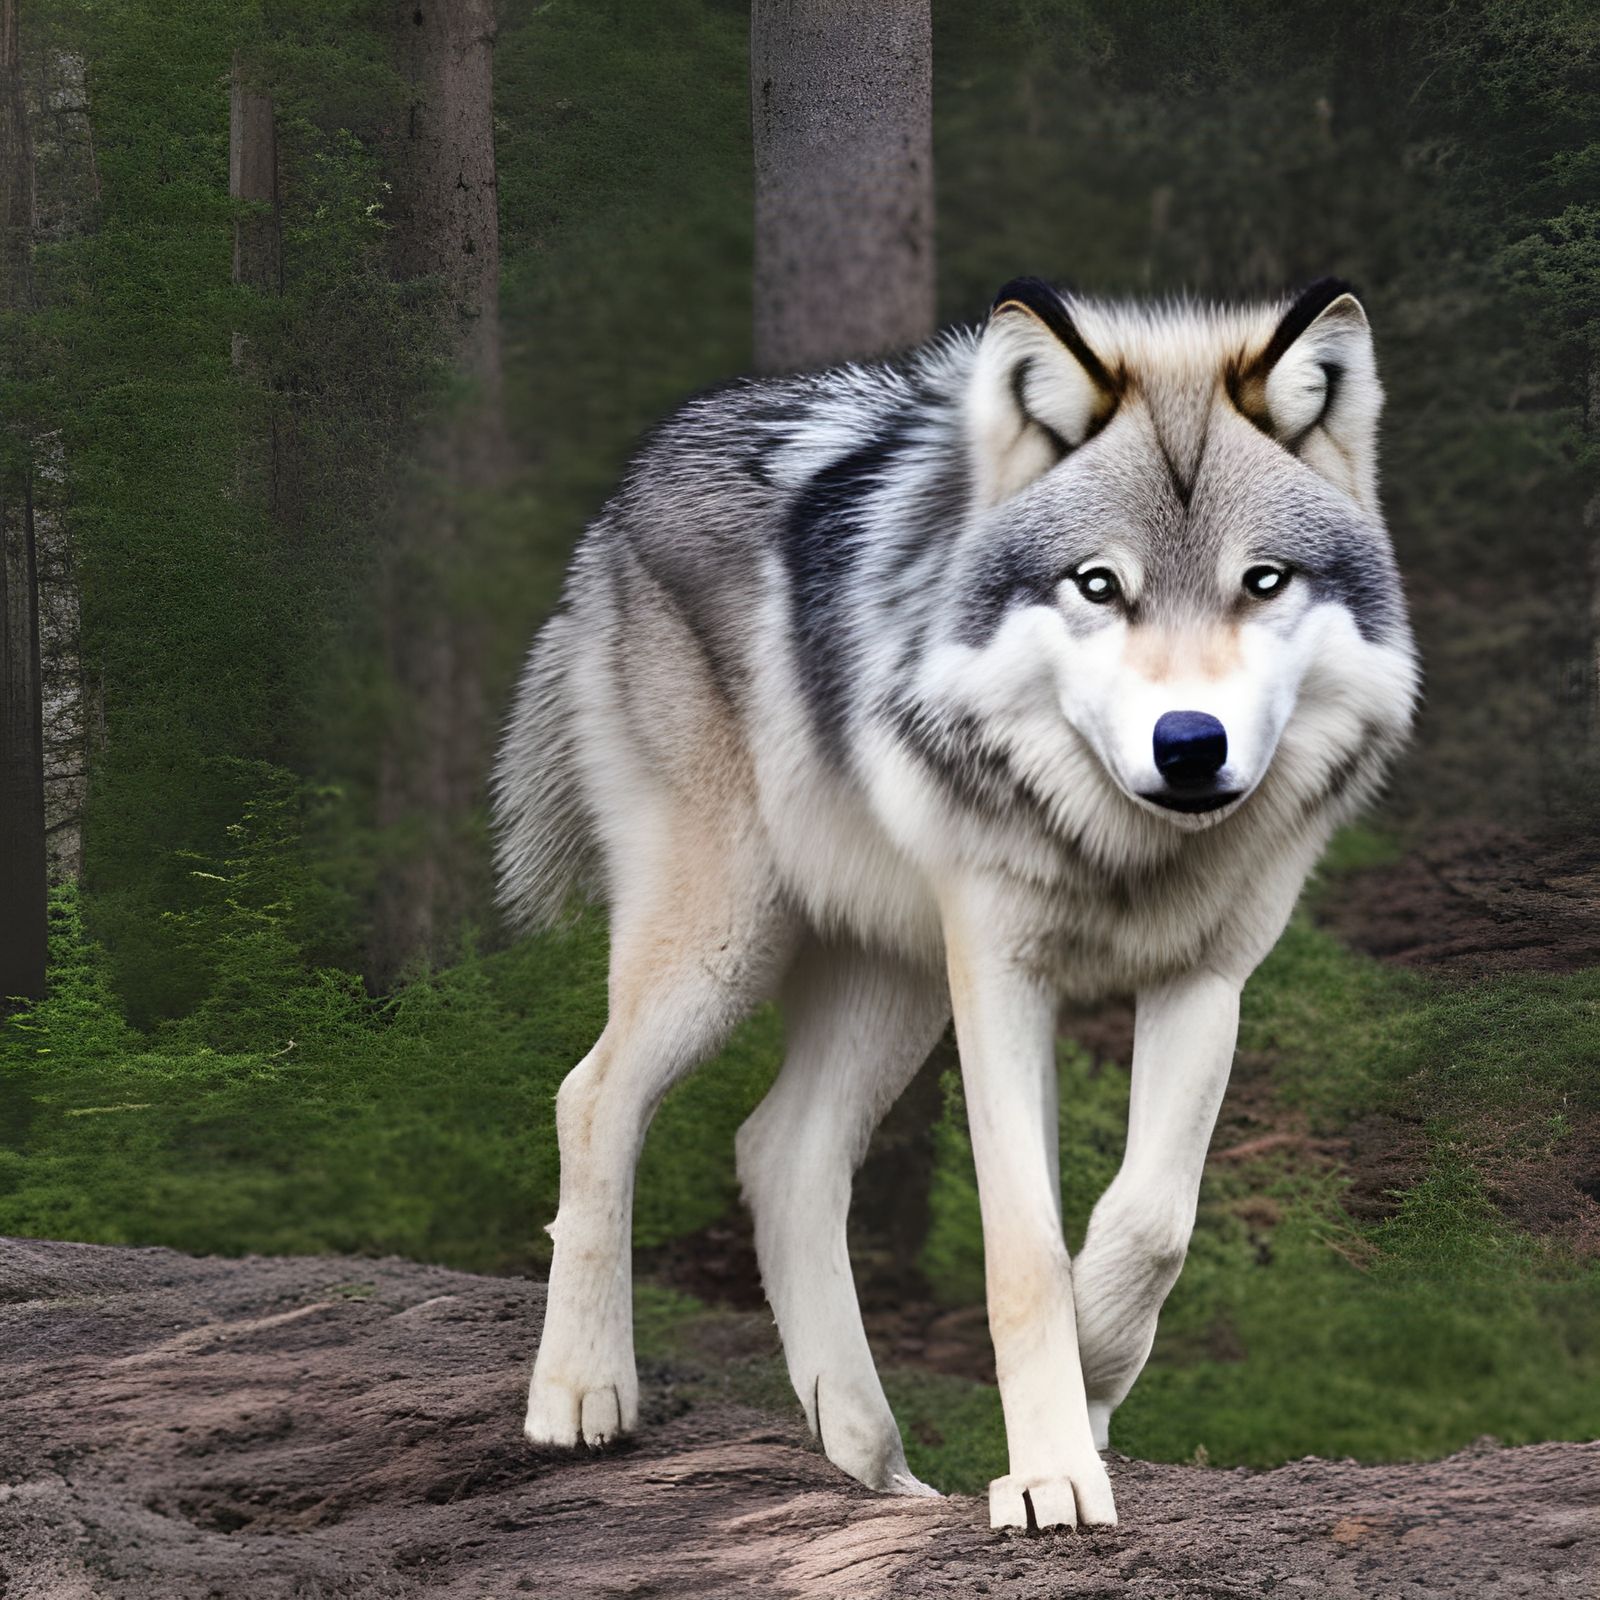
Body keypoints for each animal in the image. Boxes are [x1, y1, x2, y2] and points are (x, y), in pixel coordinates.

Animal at [492, 275, 1418, 1531]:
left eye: (1261, 581)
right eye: (1097, 584)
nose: (1189, 745)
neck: (1117, 848)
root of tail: (632, 484)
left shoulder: (1206, 979)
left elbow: (1150, 1225)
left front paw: (1091, 1377)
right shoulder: (1000, 977)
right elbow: (1024, 1249)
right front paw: (1051, 1474)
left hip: (893, 984)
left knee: (779, 1149)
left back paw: (864, 1450)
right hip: (726, 948)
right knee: (591, 1097)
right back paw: (582, 1392)